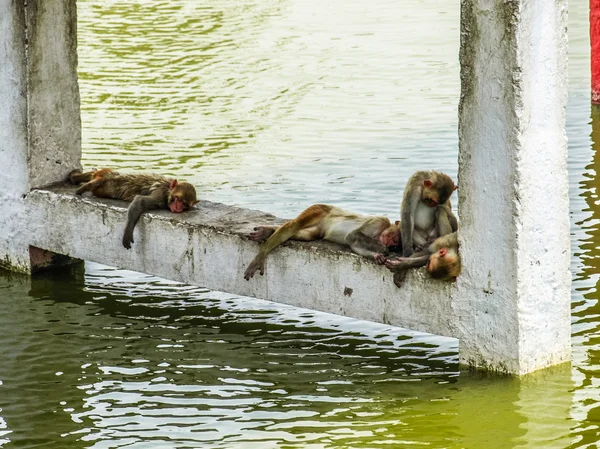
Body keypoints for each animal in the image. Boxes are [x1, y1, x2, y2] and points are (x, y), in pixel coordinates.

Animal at [68, 168, 199, 248]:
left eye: (185, 205)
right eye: (178, 199)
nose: (178, 208)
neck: (168, 190)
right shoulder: (160, 194)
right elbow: (140, 201)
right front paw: (127, 233)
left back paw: (76, 178)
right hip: (108, 179)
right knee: (101, 179)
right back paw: (80, 184)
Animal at [241, 204, 400, 280]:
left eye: (395, 245)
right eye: (394, 238)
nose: (389, 243)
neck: (380, 232)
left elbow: (354, 243)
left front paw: (376, 255)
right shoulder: (379, 221)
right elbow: (352, 236)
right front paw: (381, 250)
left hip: (319, 226)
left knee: (306, 234)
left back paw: (268, 231)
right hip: (319, 209)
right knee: (294, 226)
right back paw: (262, 252)